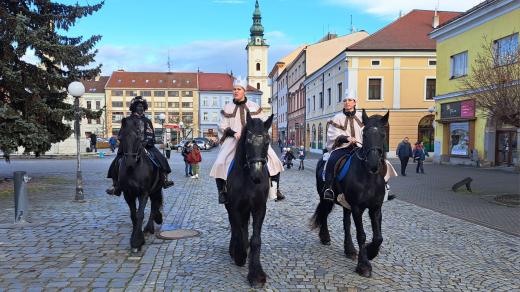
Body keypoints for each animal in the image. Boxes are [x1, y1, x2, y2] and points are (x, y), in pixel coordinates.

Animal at [118, 117, 164, 252]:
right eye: (120, 138)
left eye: (138, 138)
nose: (130, 161)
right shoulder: (128, 194)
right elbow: (134, 215)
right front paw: (134, 237)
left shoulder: (144, 193)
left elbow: (140, 214)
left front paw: (137, 241)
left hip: (156, 189)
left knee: (154, 204)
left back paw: (150, 226)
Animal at [225, 112, 274, 288]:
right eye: (248, 141)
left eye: (267, 141)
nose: (257, 175)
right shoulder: (235, 207)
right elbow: (239, 231)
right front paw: (239, 255)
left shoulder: (259, 208)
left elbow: (255, 239)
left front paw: (256, 274)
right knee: (235, 227)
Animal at [310, 109, 388, 276]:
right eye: (364, 134)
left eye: (383, 134)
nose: (373, 164)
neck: (368, 176)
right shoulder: (358, 208)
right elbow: (362, 235)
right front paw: (363, 265)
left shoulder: (375, 208)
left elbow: (378, 237)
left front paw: (371, 252)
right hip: (326, 198)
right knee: (324, 214)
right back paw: (325, 237)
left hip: (346, 204)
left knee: (346, 223)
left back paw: (350, 249)